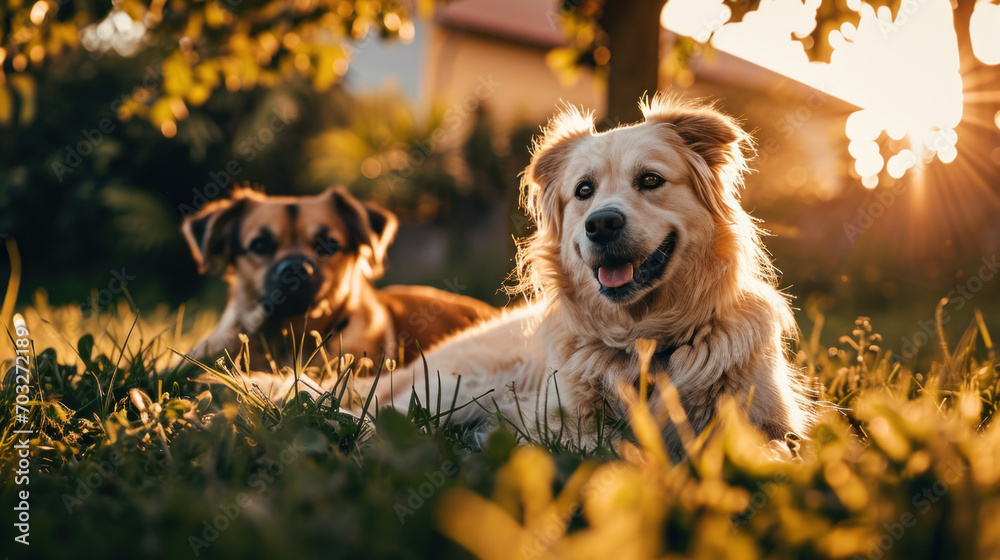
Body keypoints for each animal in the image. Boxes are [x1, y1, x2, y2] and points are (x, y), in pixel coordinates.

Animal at [368, 95, 812, 456]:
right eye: (584, 190)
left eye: (650, 180)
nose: (601, 224)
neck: (644, 340)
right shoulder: (558, 424)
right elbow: (607, 449)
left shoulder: (769, 426)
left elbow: (773, 450)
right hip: (456, 385)